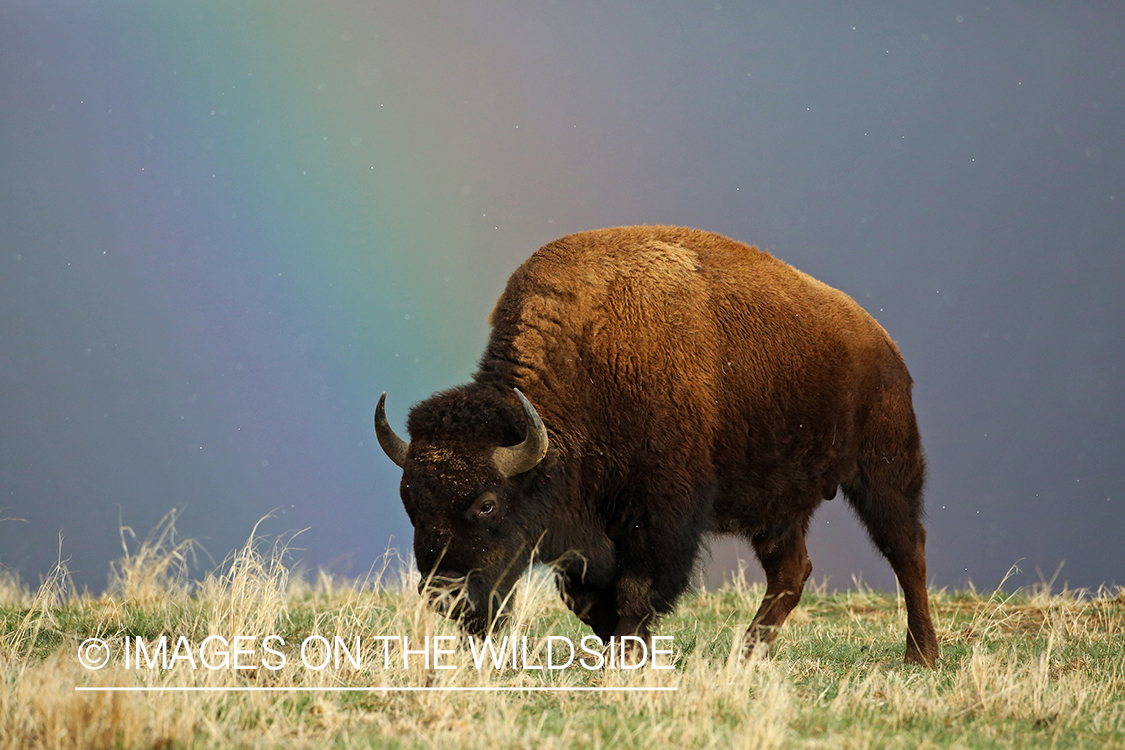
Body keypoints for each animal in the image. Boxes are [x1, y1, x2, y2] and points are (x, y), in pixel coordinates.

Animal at [375, 226, 940, 665]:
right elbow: (587, 598)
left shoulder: (659, 515)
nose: (445, 597)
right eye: (409, 500)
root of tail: (883, 345)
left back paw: (921, 656)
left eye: (487, 504)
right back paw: (745, 657)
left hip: (883, 471)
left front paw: (628, 655)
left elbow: (636, 590)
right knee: (791, 571)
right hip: (778, 508)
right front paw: (624, 652)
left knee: (906, 550)